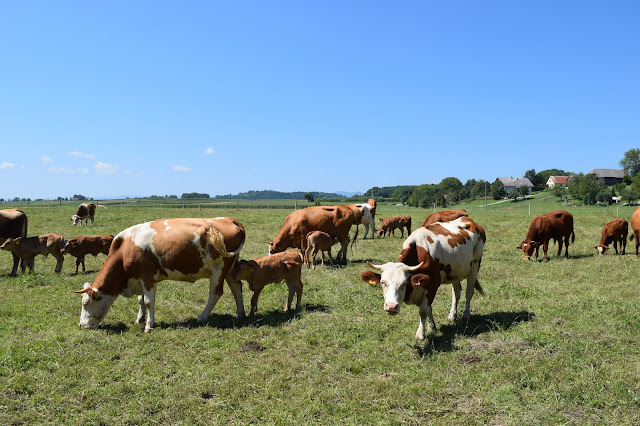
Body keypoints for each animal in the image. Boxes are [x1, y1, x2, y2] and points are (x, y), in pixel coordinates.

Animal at [74, 218, 245, 332]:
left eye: (86, 303)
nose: (81, 325)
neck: (124, 249)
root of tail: (230, 219)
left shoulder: (147, 277)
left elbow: (148, 302)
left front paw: (149, 325)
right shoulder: (139, 279)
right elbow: (140, 300)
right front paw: (139, 319)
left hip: (219, 270)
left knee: (215, 294)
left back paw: (202, 317)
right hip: (230, 269)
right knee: (237, 287)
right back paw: (240, 314)